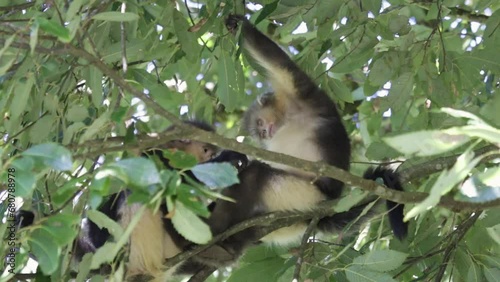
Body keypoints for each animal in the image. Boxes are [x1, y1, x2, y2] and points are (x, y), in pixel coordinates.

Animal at [191, 16, 406, 268]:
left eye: (261, 124)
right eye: (260, 132)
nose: (265, 132)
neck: (289, 116)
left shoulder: (303, 93)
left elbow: (278, 62)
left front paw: (238, 25)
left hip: (301, 196)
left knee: (255, 175)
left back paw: (217, 241)